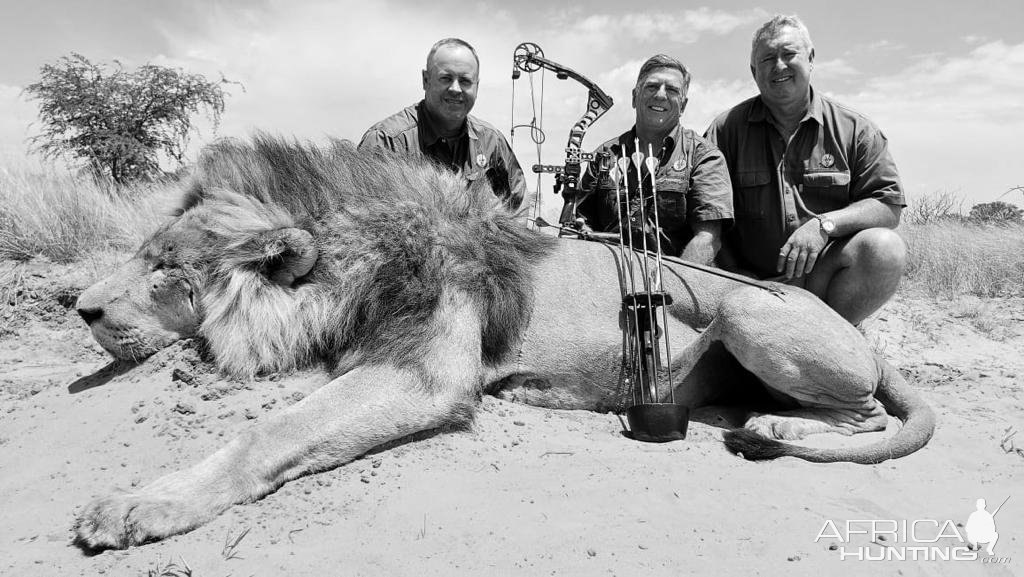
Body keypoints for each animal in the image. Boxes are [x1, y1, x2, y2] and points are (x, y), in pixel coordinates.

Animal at [74, 135, 937, 549]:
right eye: (146, 254)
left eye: (165, 268)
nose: (78, 306)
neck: (355, 257)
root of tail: (860, 335)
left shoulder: (429, 373)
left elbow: (270, 430)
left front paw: (135, 505)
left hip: (749, 315)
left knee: (865, 415)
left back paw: (771, 424)